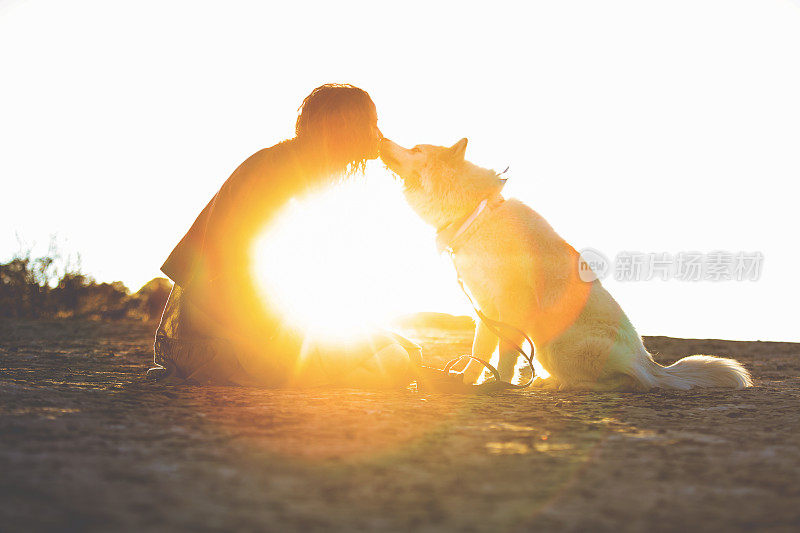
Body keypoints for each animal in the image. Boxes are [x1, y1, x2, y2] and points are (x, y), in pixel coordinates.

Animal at [382, 135, 752, 388]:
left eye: (416, 150)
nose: (382, 138)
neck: (477, 215)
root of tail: (652, 365)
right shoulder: (485, 308)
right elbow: (480, 349)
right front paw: (466, 378)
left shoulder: (513, 305)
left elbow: (505, 351)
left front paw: (499, 383)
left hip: (556, 346)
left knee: (626, 381)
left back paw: (555, 383)